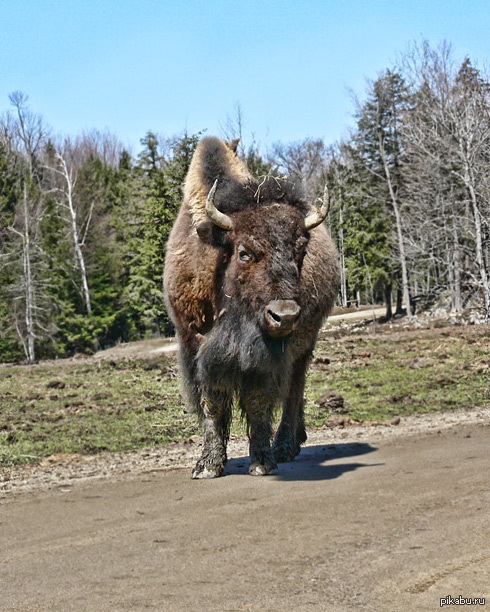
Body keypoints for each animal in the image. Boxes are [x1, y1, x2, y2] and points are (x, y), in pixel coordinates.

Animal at [163, 139, 338, 478]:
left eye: (300, 249)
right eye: (244, 252)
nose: (285, 315)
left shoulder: (266, 354)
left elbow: (258, 400)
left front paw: (262, 461)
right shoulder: (197, 345)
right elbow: (212, 403)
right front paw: (208, 465)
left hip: (305, 343)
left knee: (294, 390)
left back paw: (285, 446)